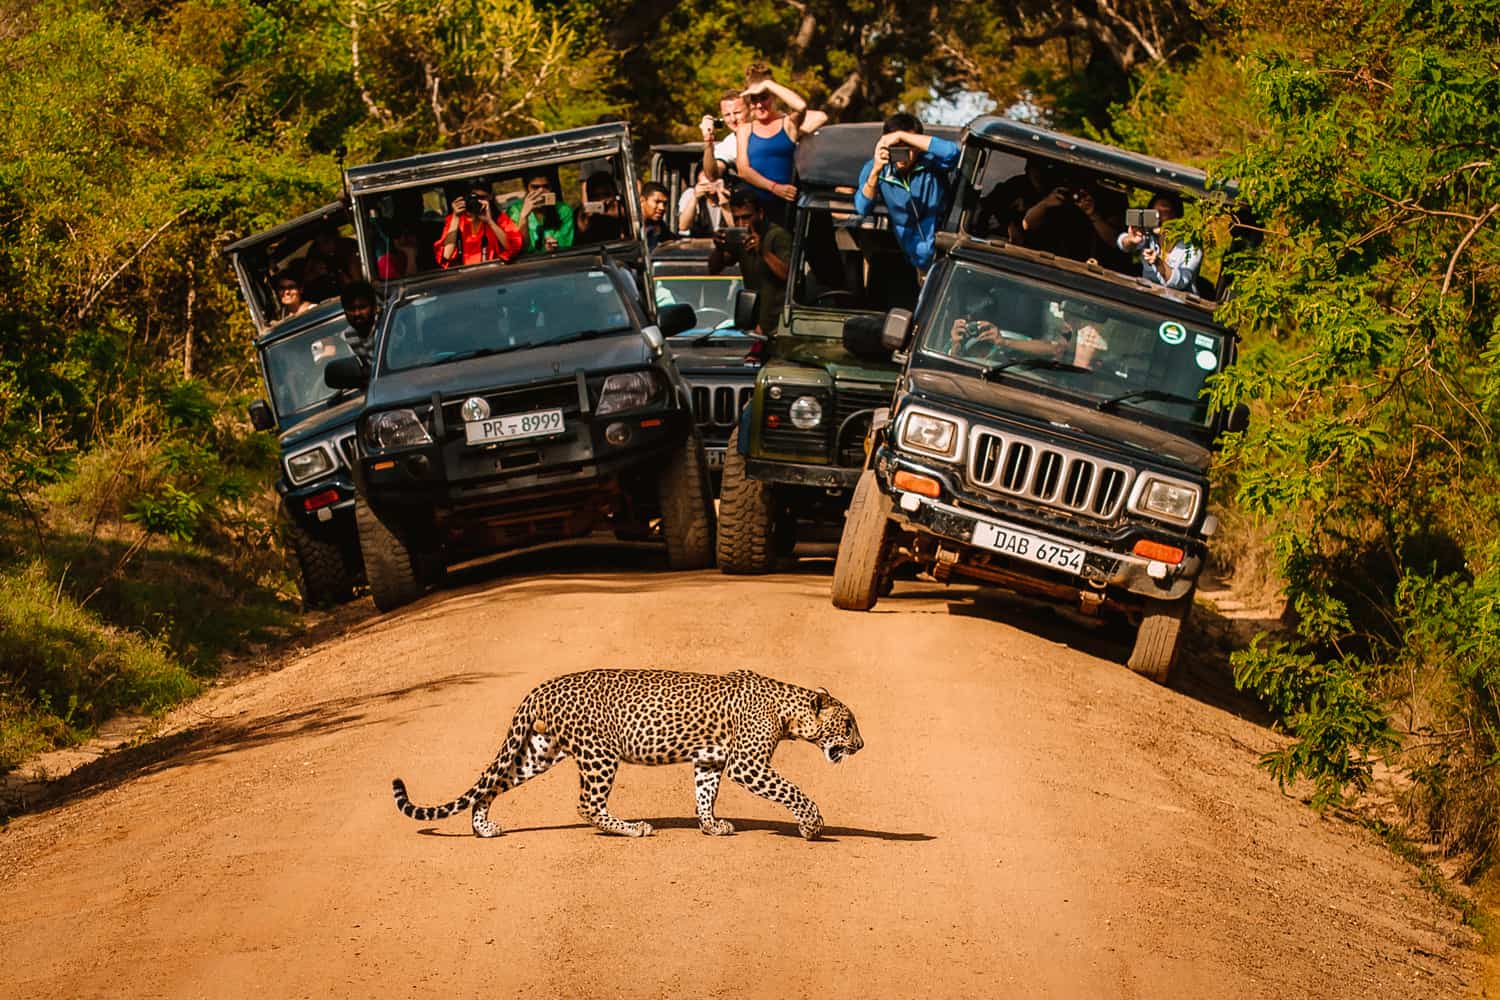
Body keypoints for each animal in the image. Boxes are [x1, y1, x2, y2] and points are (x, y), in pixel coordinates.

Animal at [393, 668, 864, 839]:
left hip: (540, 751)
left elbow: (704, 794)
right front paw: (812, 826)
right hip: (599, 754)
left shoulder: (710, 760)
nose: (861, 745)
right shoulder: (747, 764)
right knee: (586, 804)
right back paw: (633, 829)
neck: (789, 711)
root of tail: (541, 687)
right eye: (848, 724)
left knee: (491, 784)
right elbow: (793, 791)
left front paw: (711, 826)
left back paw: (484, 828)